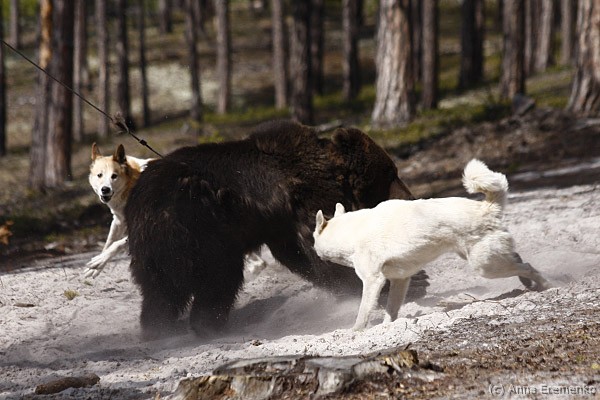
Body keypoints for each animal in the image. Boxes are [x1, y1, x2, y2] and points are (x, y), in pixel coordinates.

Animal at [125, 120, 417, 339]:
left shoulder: (282, 224)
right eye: (391, 172)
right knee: (219, 277)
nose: (411, 197)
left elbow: (301, 255)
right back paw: (210, 324)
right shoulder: (306, 198)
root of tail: (145, 204)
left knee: (161, 292)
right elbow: (319, 250)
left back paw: (160, 328)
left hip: (155, 251)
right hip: (203, 229)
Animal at [313, 159, 552, 330]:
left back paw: (545, 284)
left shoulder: (373, 280)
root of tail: (486, 208)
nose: (315, 253)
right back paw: (528, 282)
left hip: (485, 266)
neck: (351, 232)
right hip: (488, 259)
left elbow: (364, 312)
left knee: (527, 266)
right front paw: (388, 327)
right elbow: (391, 309)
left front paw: (355, 331)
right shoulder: (400, 279)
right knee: (518, 259)